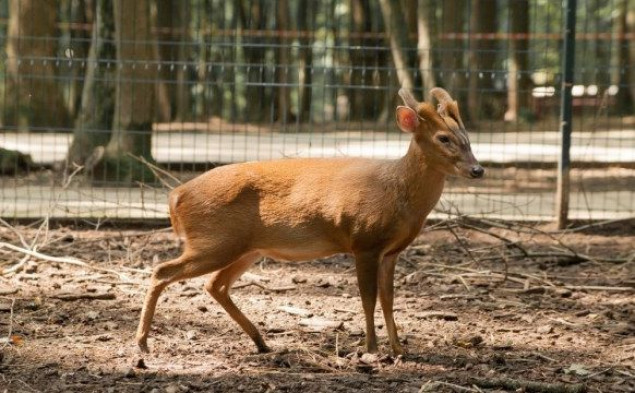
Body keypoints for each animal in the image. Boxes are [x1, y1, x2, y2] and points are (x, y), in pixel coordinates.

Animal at [137, 86, 484, 356]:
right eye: (443, 138)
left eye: (467, 137)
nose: (478, 170)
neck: (398, 195)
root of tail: (176, 195)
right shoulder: (364, 241)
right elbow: (368, 298)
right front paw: (371, 349)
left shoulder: (392, 251)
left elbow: (388, 299)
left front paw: (399, 349)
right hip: (214, 240)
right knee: (163, 271)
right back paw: (141, 342)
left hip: (246, 248)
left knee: (215, 284)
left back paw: (261, 342)